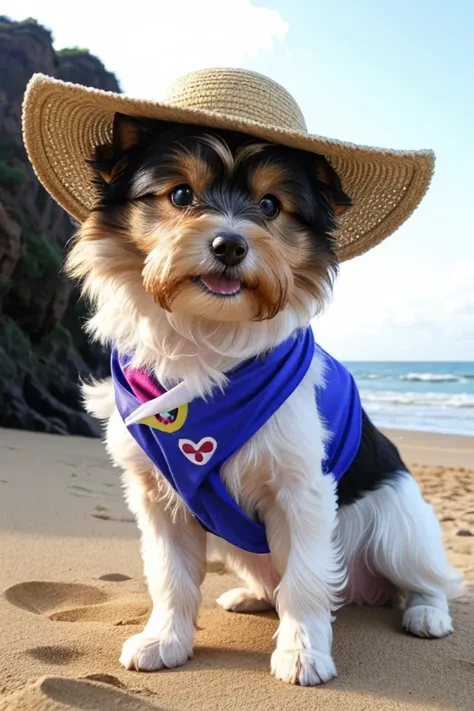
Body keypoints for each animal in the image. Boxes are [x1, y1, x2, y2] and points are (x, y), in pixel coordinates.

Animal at [68, 114, 464, 688]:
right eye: (181, 194)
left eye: (272, 205)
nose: (230, 245)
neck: (210, 340)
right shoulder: (159, 497)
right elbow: (170, 578)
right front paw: (165, 639)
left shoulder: (300, 491)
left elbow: (304, 579)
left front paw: (303, 651)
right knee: (272, 579)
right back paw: (252, 596)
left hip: (398, 527)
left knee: (426, 578)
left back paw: (426, 611)